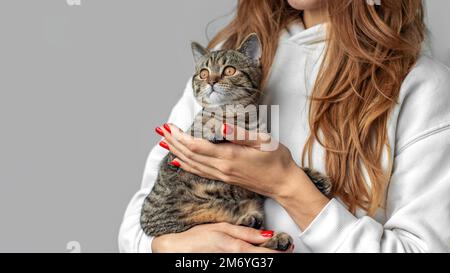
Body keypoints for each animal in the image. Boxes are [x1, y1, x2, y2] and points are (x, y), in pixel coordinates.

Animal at [140, 34, 330, 251]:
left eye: (229, 70)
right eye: (203, 73)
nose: (212, 81)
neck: (238, 116)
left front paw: (314, 177)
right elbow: (202, 130)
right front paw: (215, 130)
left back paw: (269, 235)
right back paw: (261, 230)